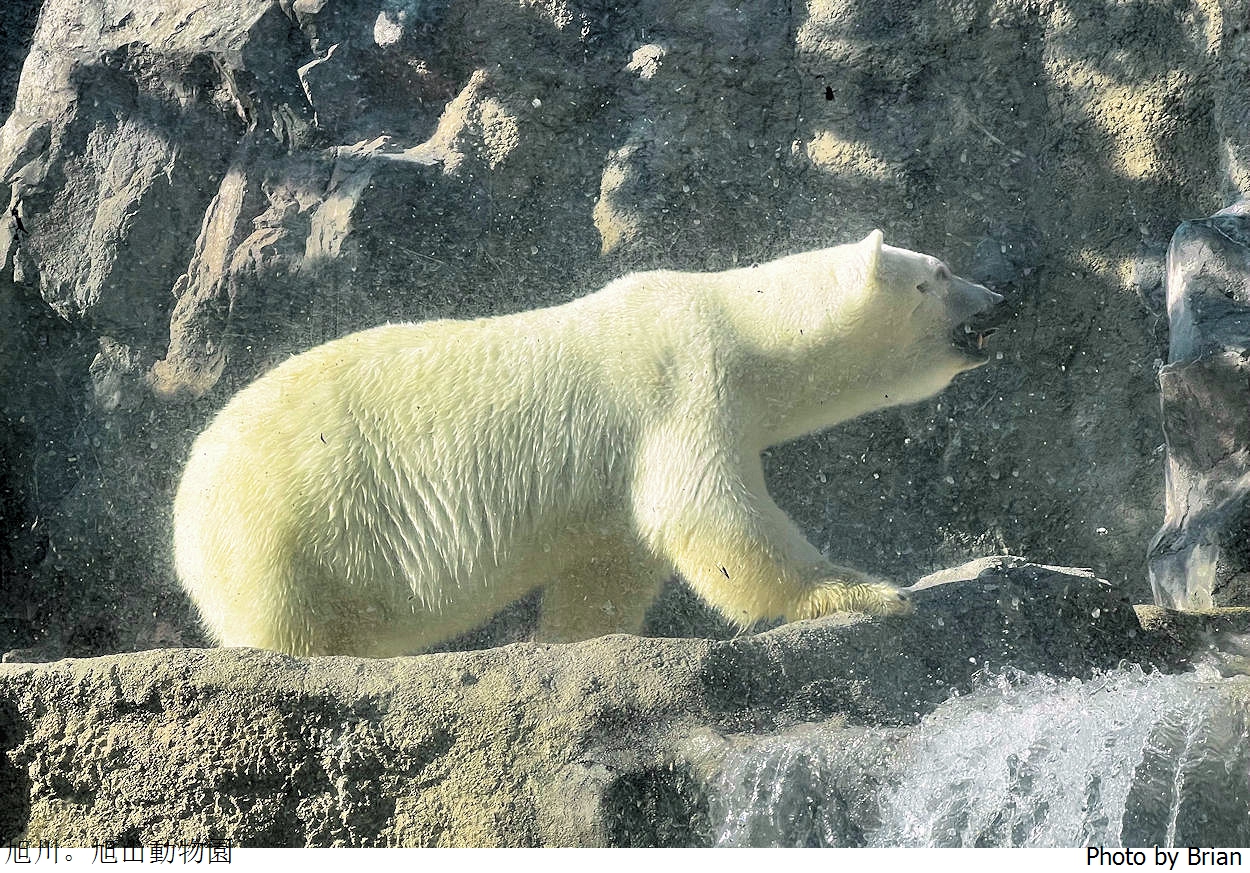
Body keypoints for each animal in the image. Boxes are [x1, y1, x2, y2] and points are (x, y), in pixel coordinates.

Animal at [172, 229, 1003, 657]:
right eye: (941, 271)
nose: (1001, 297)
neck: (743, 324)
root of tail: (182, 513)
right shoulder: (685, 390)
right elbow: (720, 523)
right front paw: (866, 589)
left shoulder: (617, 478)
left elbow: (612, 562)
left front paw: (573, 639)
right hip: (287, 528)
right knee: (290, 620)